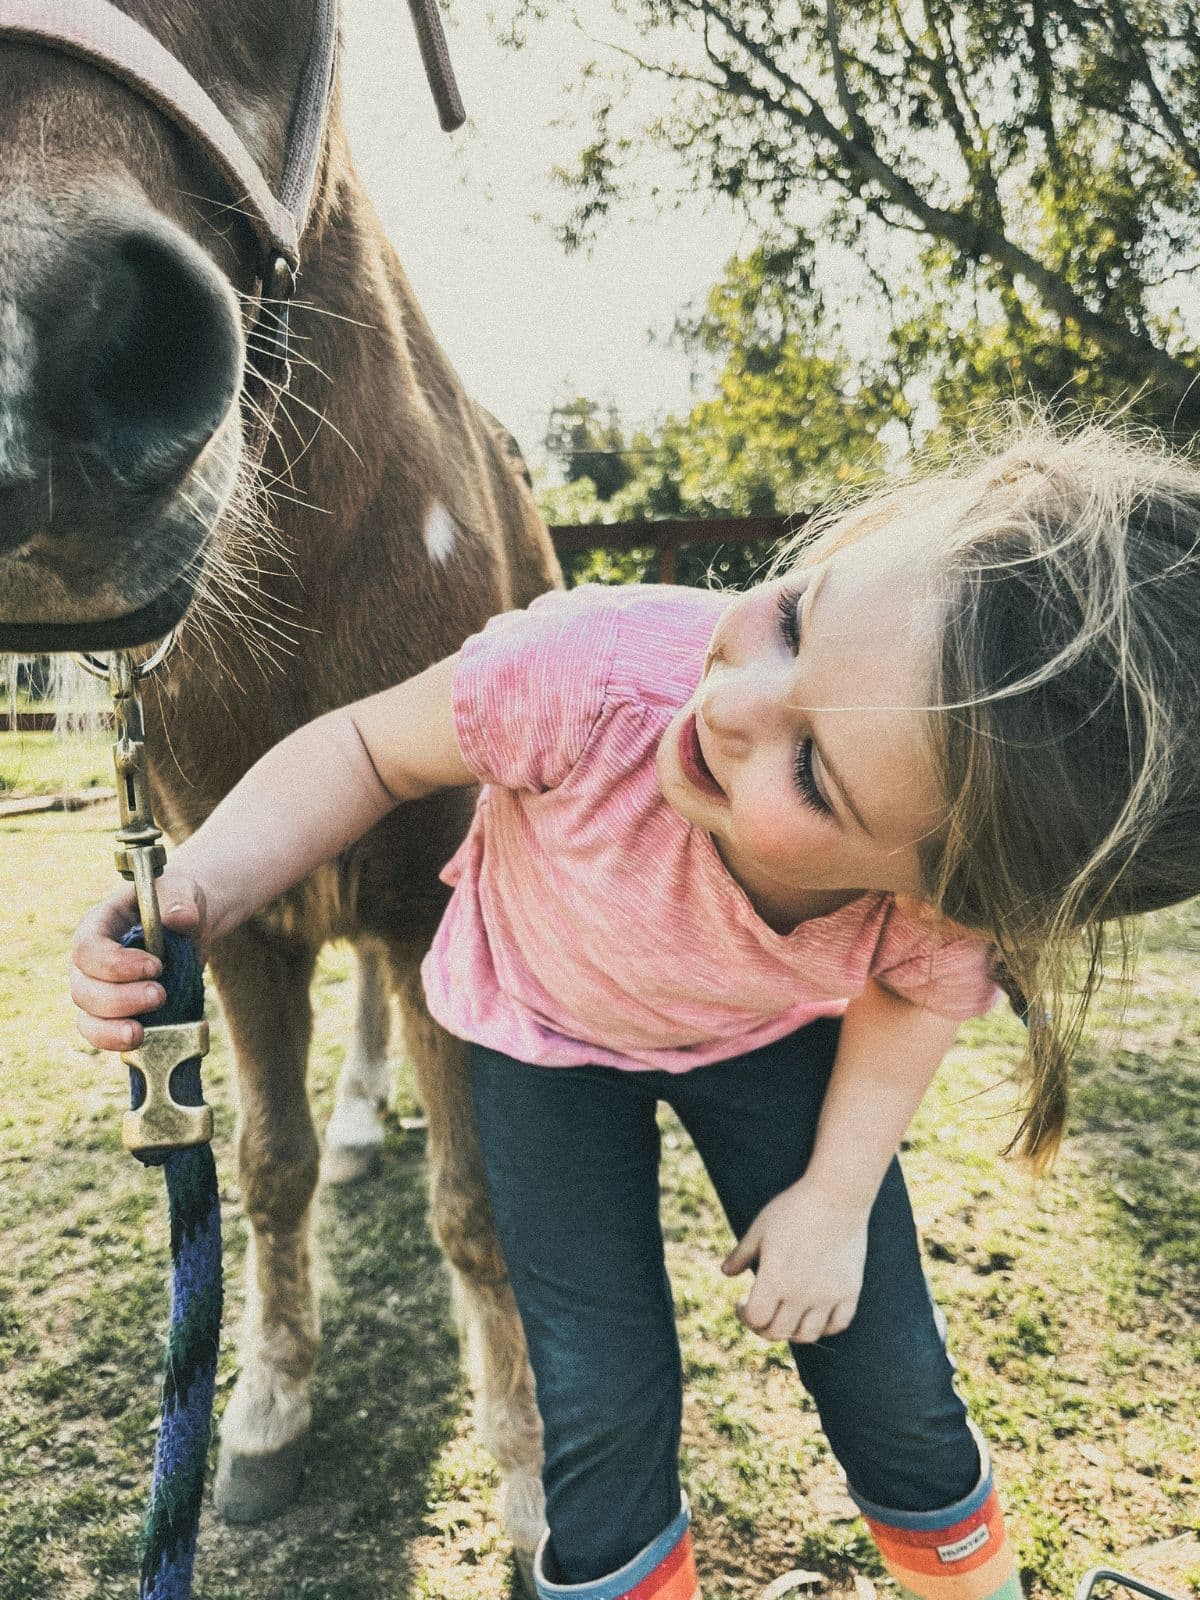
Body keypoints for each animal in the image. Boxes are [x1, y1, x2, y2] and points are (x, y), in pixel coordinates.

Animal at [0, 0, 555, 1578]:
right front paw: (260, 1416)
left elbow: (479, 1208)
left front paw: (531, 1481)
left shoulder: (435, 894)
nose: (36, 352)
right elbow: (264, 1166)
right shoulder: (226, 914)